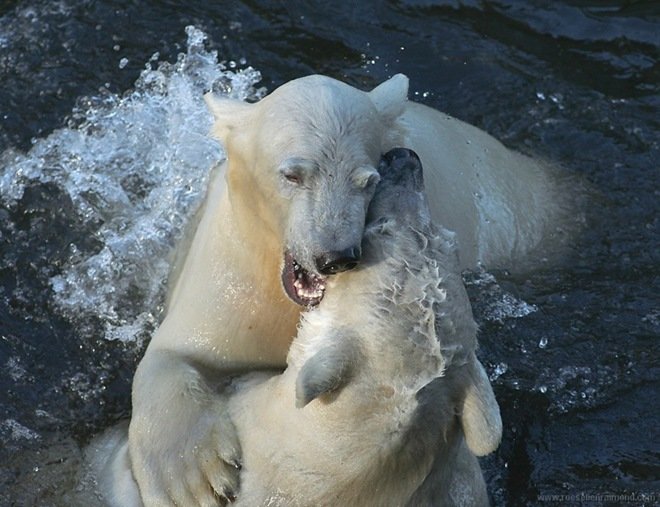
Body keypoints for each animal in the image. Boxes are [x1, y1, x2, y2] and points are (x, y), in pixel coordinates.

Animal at [129, 73, 568, 506]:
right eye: (292, 175)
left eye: (367, 180)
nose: (335, 256)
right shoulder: (232, 270)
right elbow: (181, 351)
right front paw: (193, 477)